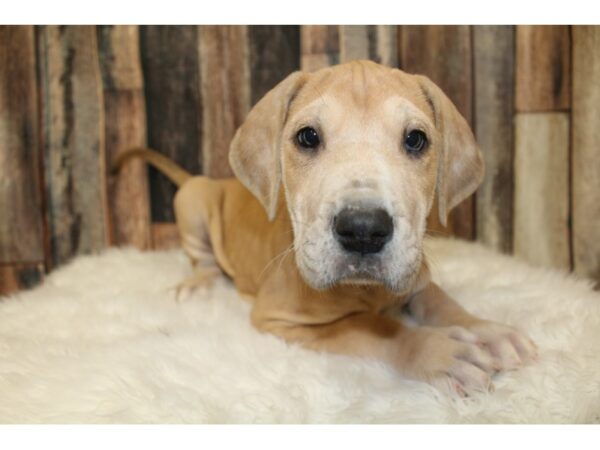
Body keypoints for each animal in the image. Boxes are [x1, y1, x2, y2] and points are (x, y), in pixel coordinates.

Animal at [115, 59, 536, 394]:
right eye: (308, 137)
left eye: (416, 139)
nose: (363, 230)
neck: (364, 290)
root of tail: (218, 181)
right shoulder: (280, 318)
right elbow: (366, 328)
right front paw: (439, 351)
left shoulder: (415, 271)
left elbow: (439, 299)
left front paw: (488, 330)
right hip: (192, 200)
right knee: (204, 260)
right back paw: (197, 285)